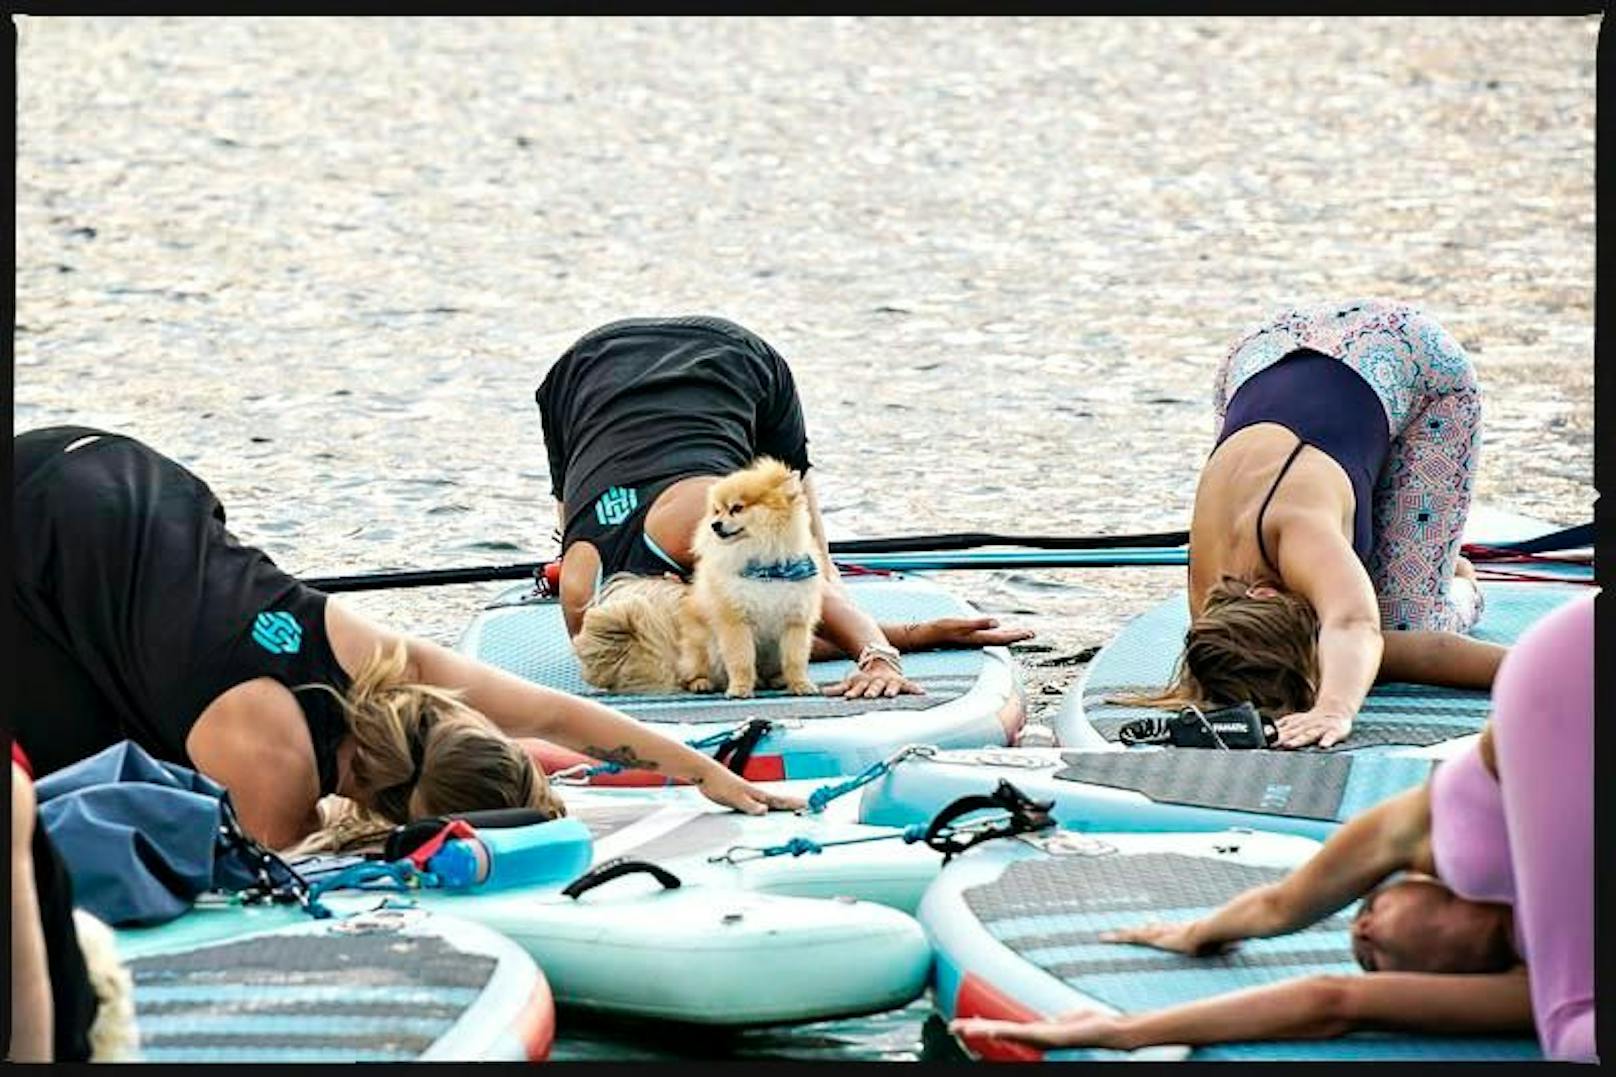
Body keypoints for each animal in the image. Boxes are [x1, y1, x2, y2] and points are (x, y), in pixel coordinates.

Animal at [572, 456, 820, 695]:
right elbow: (741, 660)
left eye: (737, 508)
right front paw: (739, 689)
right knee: (692, 676)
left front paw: (801, 685)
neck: (767, 569)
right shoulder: (735, 621)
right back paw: (703, 683)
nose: (715, 524)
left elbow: (795, 660)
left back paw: (775, 680)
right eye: (717, 510)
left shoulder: (796, 621)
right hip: (702, 648)